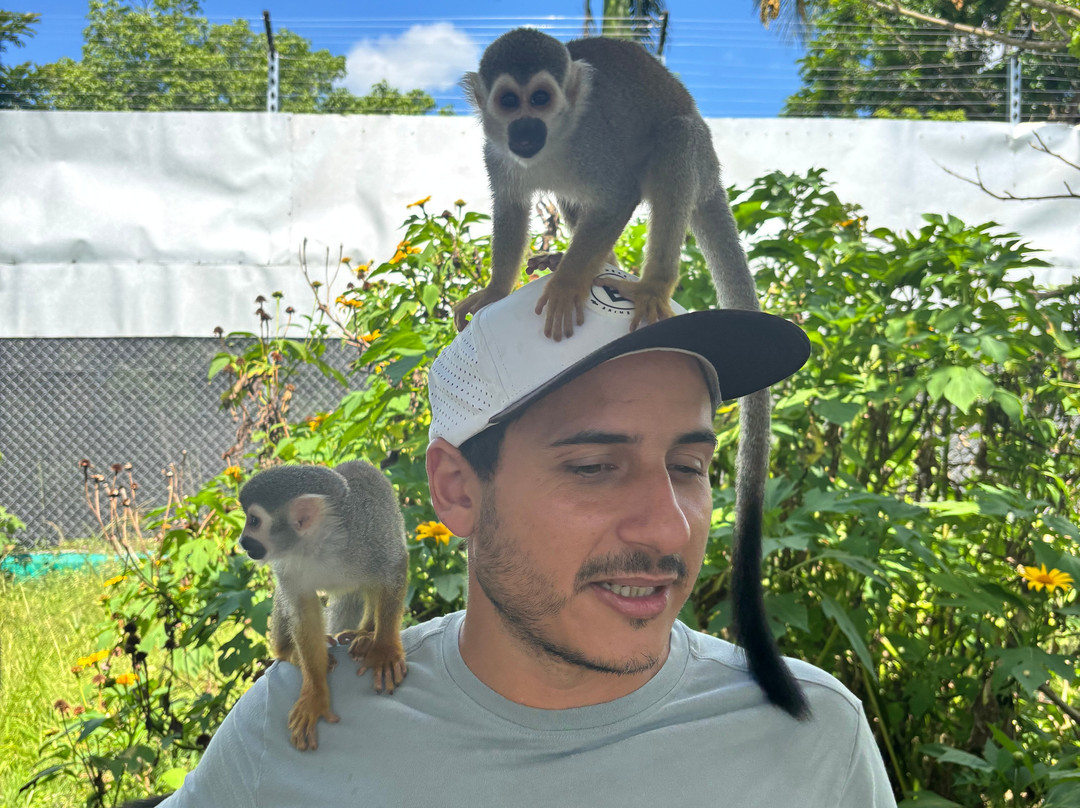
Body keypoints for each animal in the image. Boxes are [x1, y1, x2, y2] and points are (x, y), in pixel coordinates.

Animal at [238, 461, 409, 750]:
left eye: (254, 521)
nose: (242, 541)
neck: (320, 545)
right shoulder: (288, 564)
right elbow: (302, 609)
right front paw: (316, 692)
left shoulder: (370, 534)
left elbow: (395, 565)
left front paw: (384, 648)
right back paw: (287, 651)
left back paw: (366, 633)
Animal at [458, 28, 809, 720]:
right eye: (510, 102)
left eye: (542, 98)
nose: (527, 130)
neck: (554, 145)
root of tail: (715, 170)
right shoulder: (496, 153)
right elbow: (511, 207)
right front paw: (496, 290)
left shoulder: (595, 147)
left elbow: (617, 194)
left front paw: (570, 282)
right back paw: (601, 268)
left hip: (696, 157)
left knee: (670, 146)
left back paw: (646, 283)